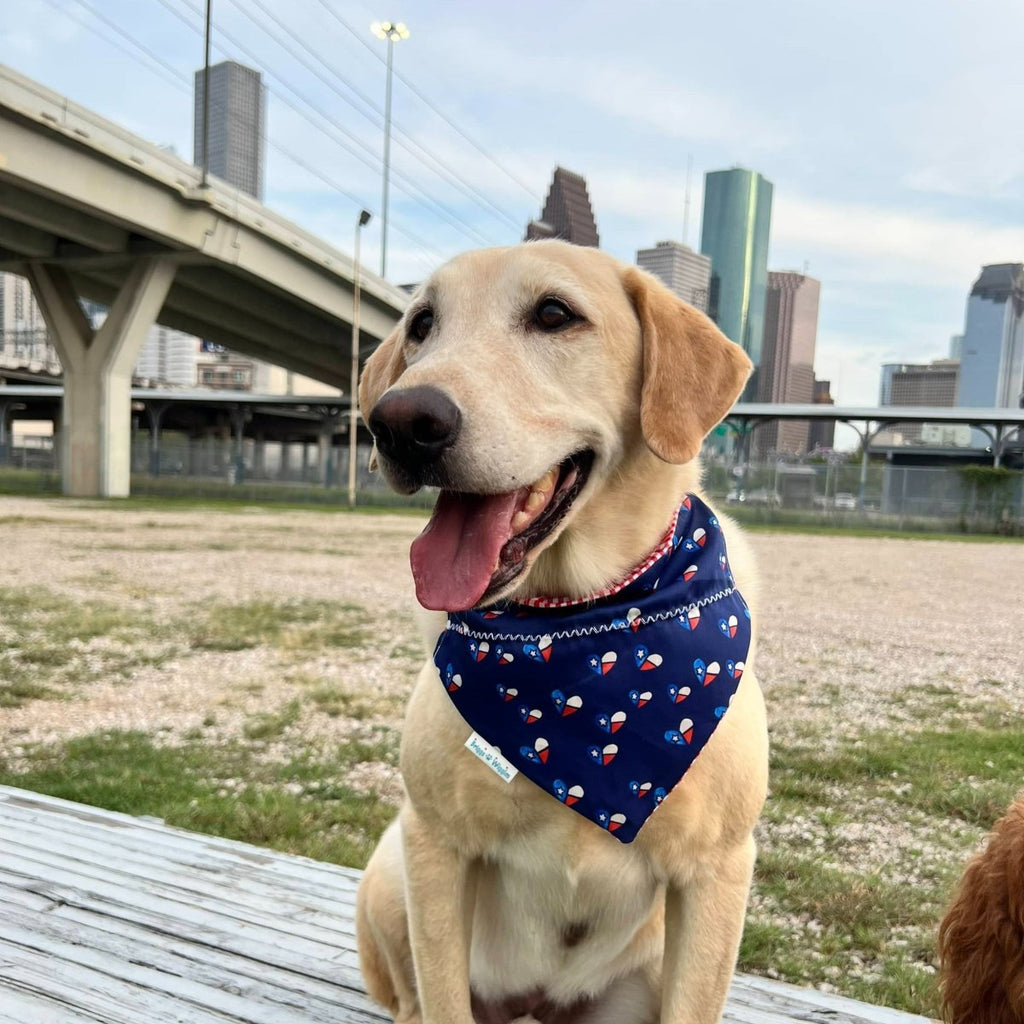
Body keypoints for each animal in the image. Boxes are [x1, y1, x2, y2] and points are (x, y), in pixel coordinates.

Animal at [356, 241, 765, 1024]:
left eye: (554, 314)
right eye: (422, 324)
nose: (399, 421)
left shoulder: (716, 872)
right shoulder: (435, 844)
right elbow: (442, 997)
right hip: (389, 870)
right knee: (413, 997)